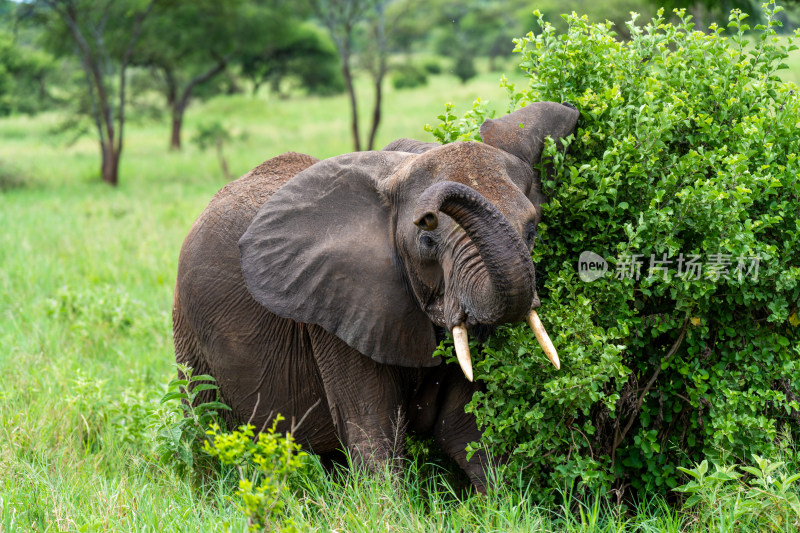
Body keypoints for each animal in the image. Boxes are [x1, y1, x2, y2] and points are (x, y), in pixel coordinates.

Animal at [172, 101, 580, 490]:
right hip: (190, 337)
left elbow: (464, 428)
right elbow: (372, 429)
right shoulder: (335, 306)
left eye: (532, 231)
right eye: (427, 239)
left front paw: (500, 502)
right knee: (206, 429)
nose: (428, 211)